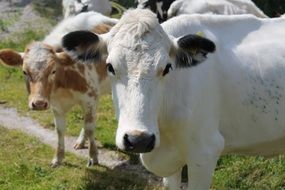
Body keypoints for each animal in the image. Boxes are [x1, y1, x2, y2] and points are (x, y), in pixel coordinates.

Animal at [0, 24, 110, 168]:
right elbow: (60, 130)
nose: (39, 103)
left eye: (53, 70)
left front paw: (93, 156)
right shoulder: (57, 106)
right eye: (24, 72)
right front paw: (58, 158)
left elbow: (90, 128)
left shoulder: (89, 99)